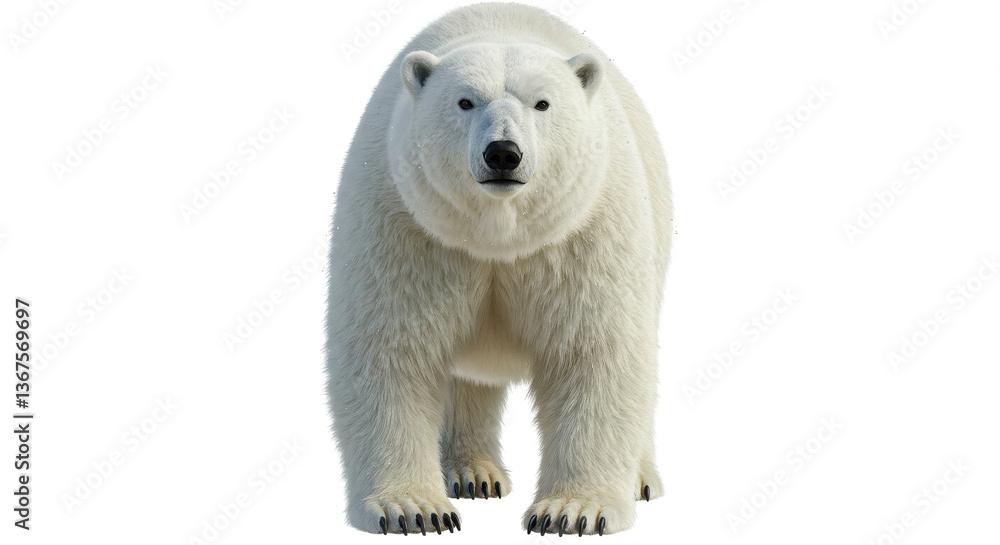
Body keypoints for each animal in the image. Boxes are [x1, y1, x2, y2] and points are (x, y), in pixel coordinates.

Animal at [326, 2, 672, 536]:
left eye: (543, 104)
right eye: (465, 101)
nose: (503, 153)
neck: (498, 236)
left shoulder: (583, 231)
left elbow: (595, 352)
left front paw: (573, 511)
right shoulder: (407, 224)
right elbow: (390, 350)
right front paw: (414, 509)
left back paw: (640, 477)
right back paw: (474, 473)